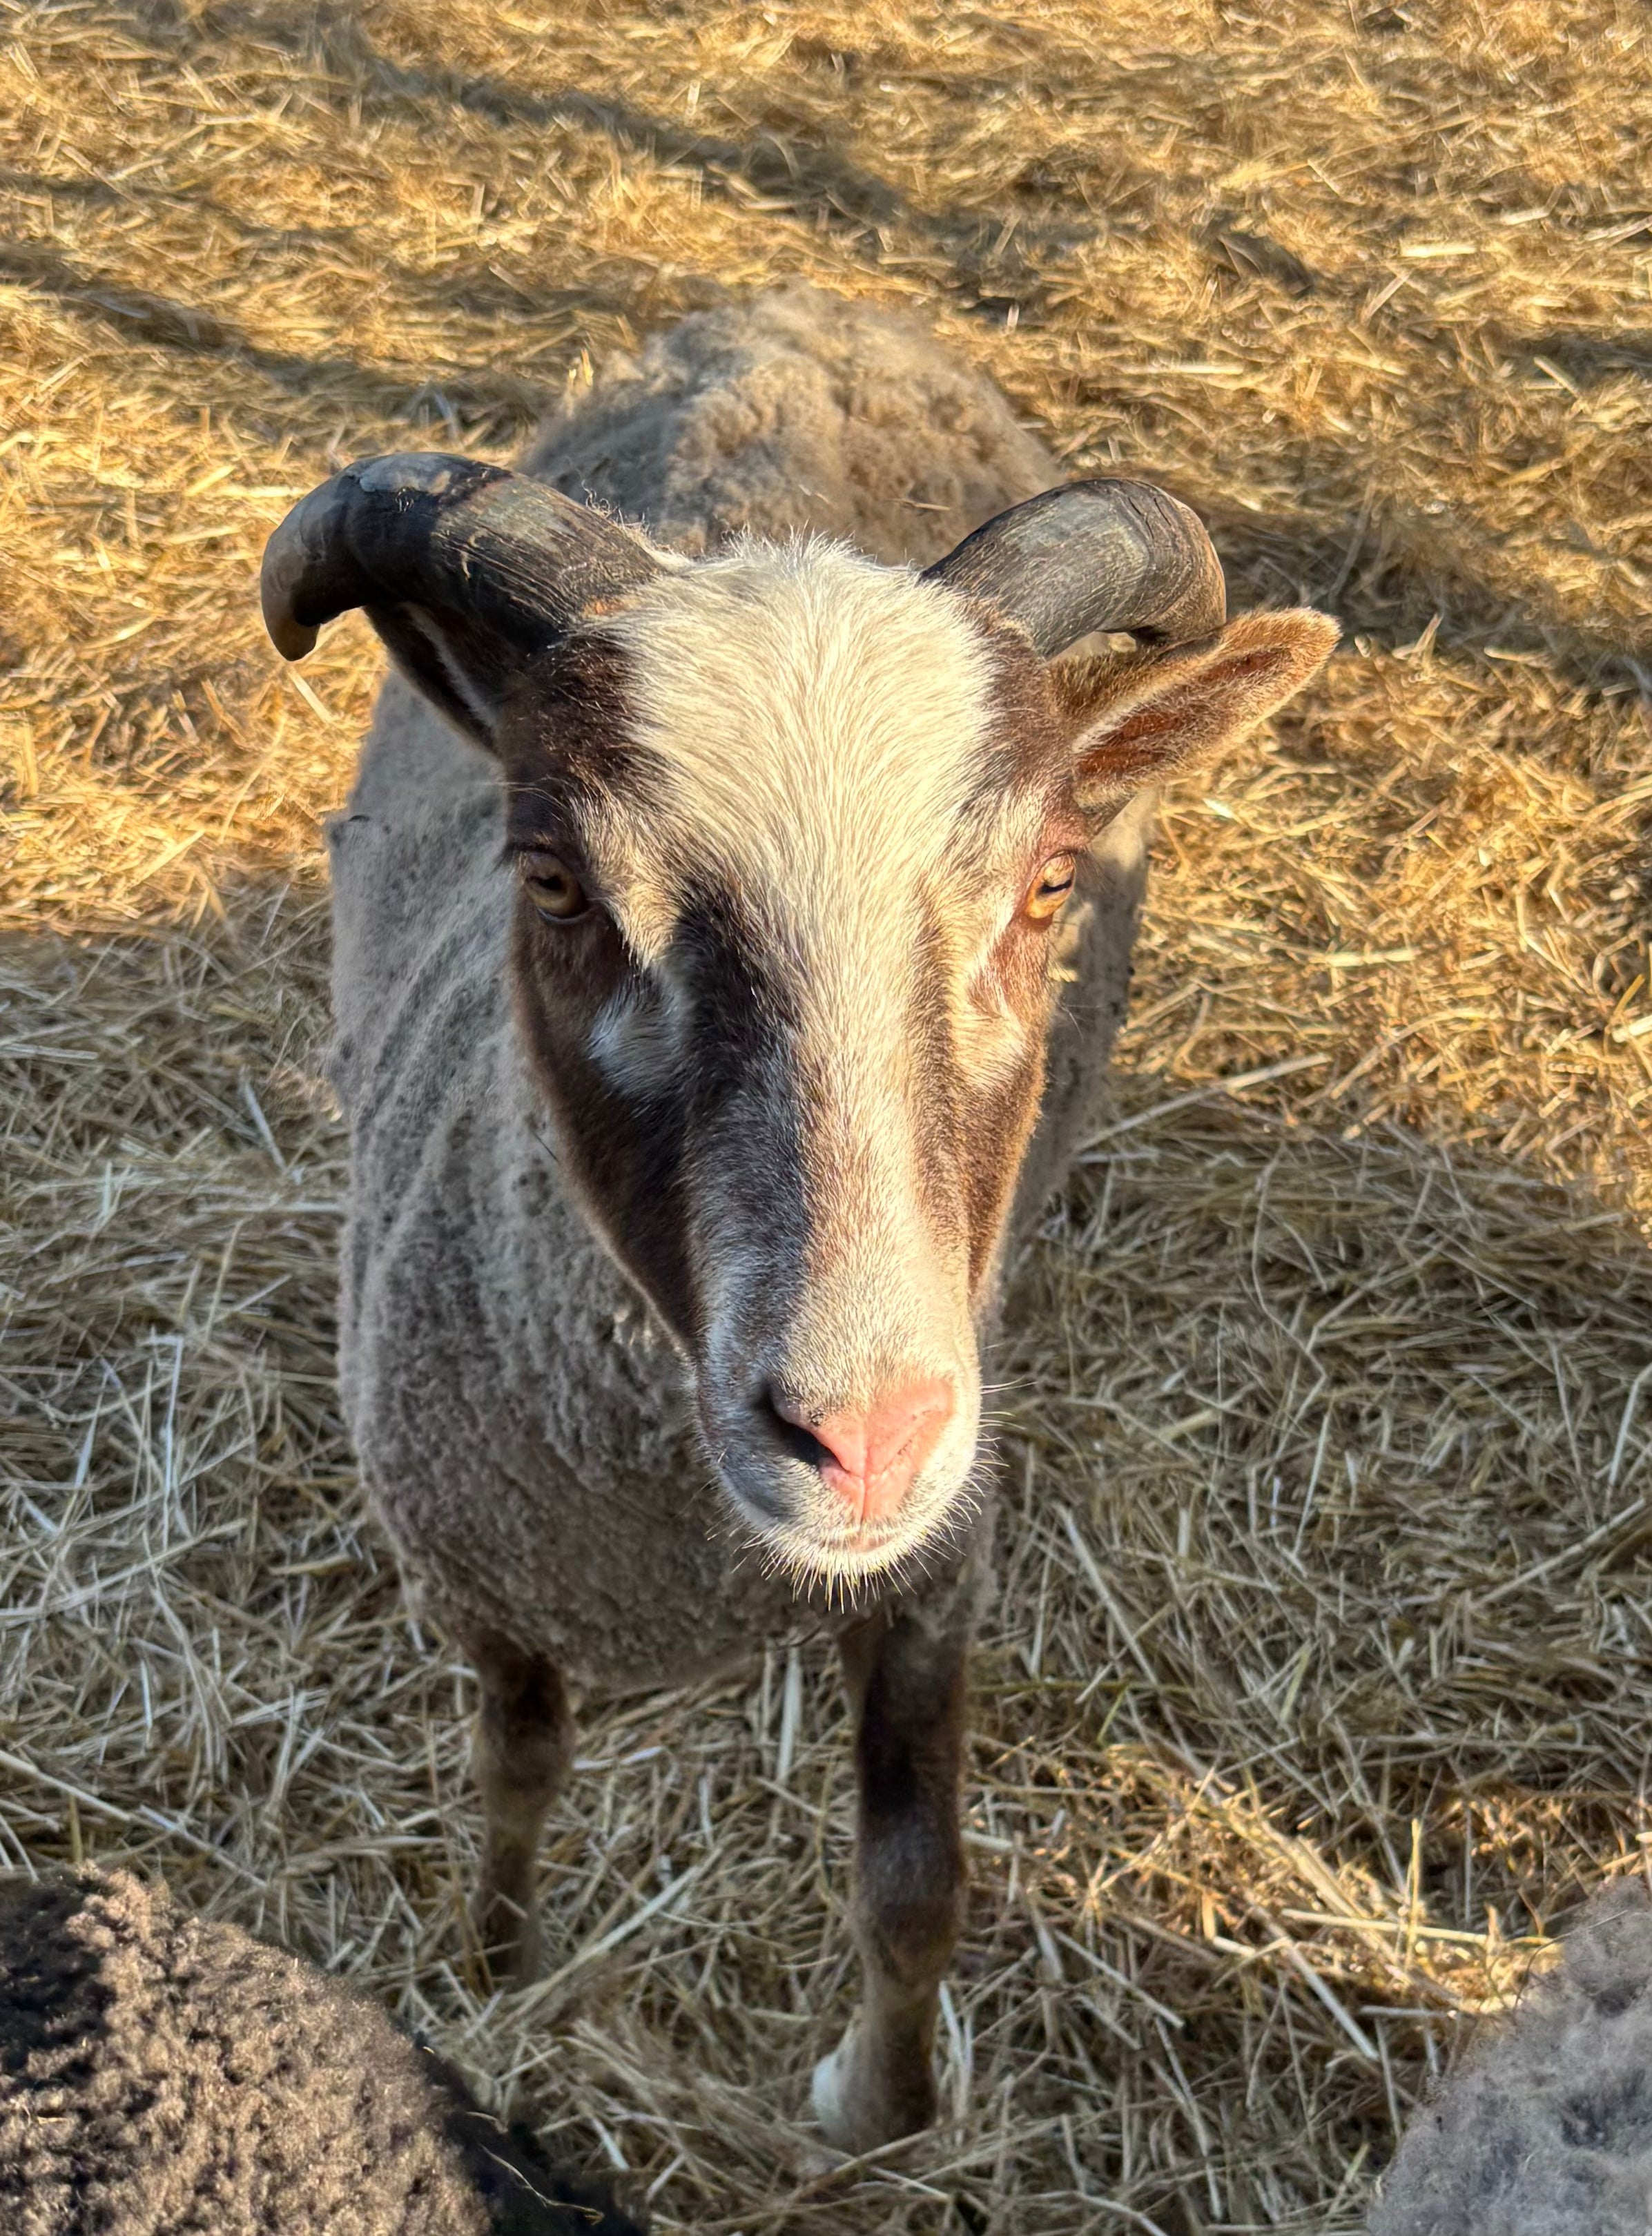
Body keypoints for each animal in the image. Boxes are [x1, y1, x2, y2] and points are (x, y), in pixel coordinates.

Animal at [260, 278, 1338, 2152]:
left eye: (1047, 884)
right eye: (550, 877)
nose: (863, 1433)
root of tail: (802, 308)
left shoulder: (933, 1571)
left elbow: (915, 1878)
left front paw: (876, 2105)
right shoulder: (476, 1572)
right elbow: (513, 1770)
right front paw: (491, 1958)